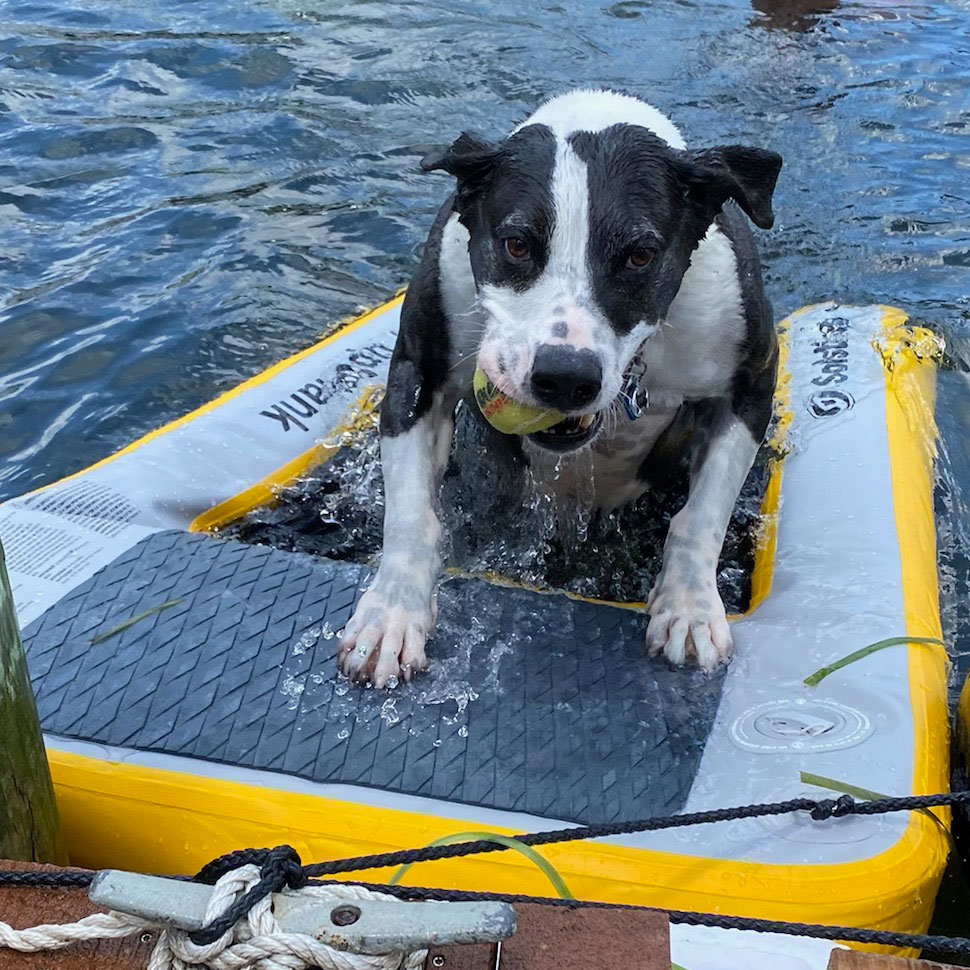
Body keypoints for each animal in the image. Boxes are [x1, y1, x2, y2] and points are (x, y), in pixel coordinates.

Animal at [338, 87, 780, 684]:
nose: (565, 376)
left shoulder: (749, 381)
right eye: (516, 244)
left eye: (640, 254)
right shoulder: (418, 372)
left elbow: (703, 517)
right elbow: (410, 514)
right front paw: (391, 614)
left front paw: (688, 607)